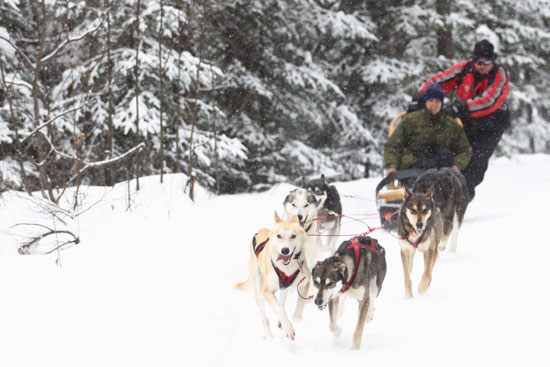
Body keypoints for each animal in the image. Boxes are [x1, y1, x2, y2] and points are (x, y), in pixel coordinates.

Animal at [236, 213, 312, 342]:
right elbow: (279, 309)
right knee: (265, 317)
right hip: (259, 291)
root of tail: (260, 231)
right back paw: (269, 336)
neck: (287, 267)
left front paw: (296, 318)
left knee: (281, 302)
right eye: (279, 236)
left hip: (284, 288)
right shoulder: (267, 291)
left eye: (293, 236)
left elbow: (299, 303)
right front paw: (288, 329)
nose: (285, 250)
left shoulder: (305, 282)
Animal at [398, 167, 472, 300]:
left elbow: (427, 272)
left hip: (457, 212)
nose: (419, 225)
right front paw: (408, 296)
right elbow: (407, 275)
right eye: (412, 210)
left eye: (425, 210)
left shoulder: (430, 249)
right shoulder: (405, 250)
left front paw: (422, 288)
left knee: (454, 232)